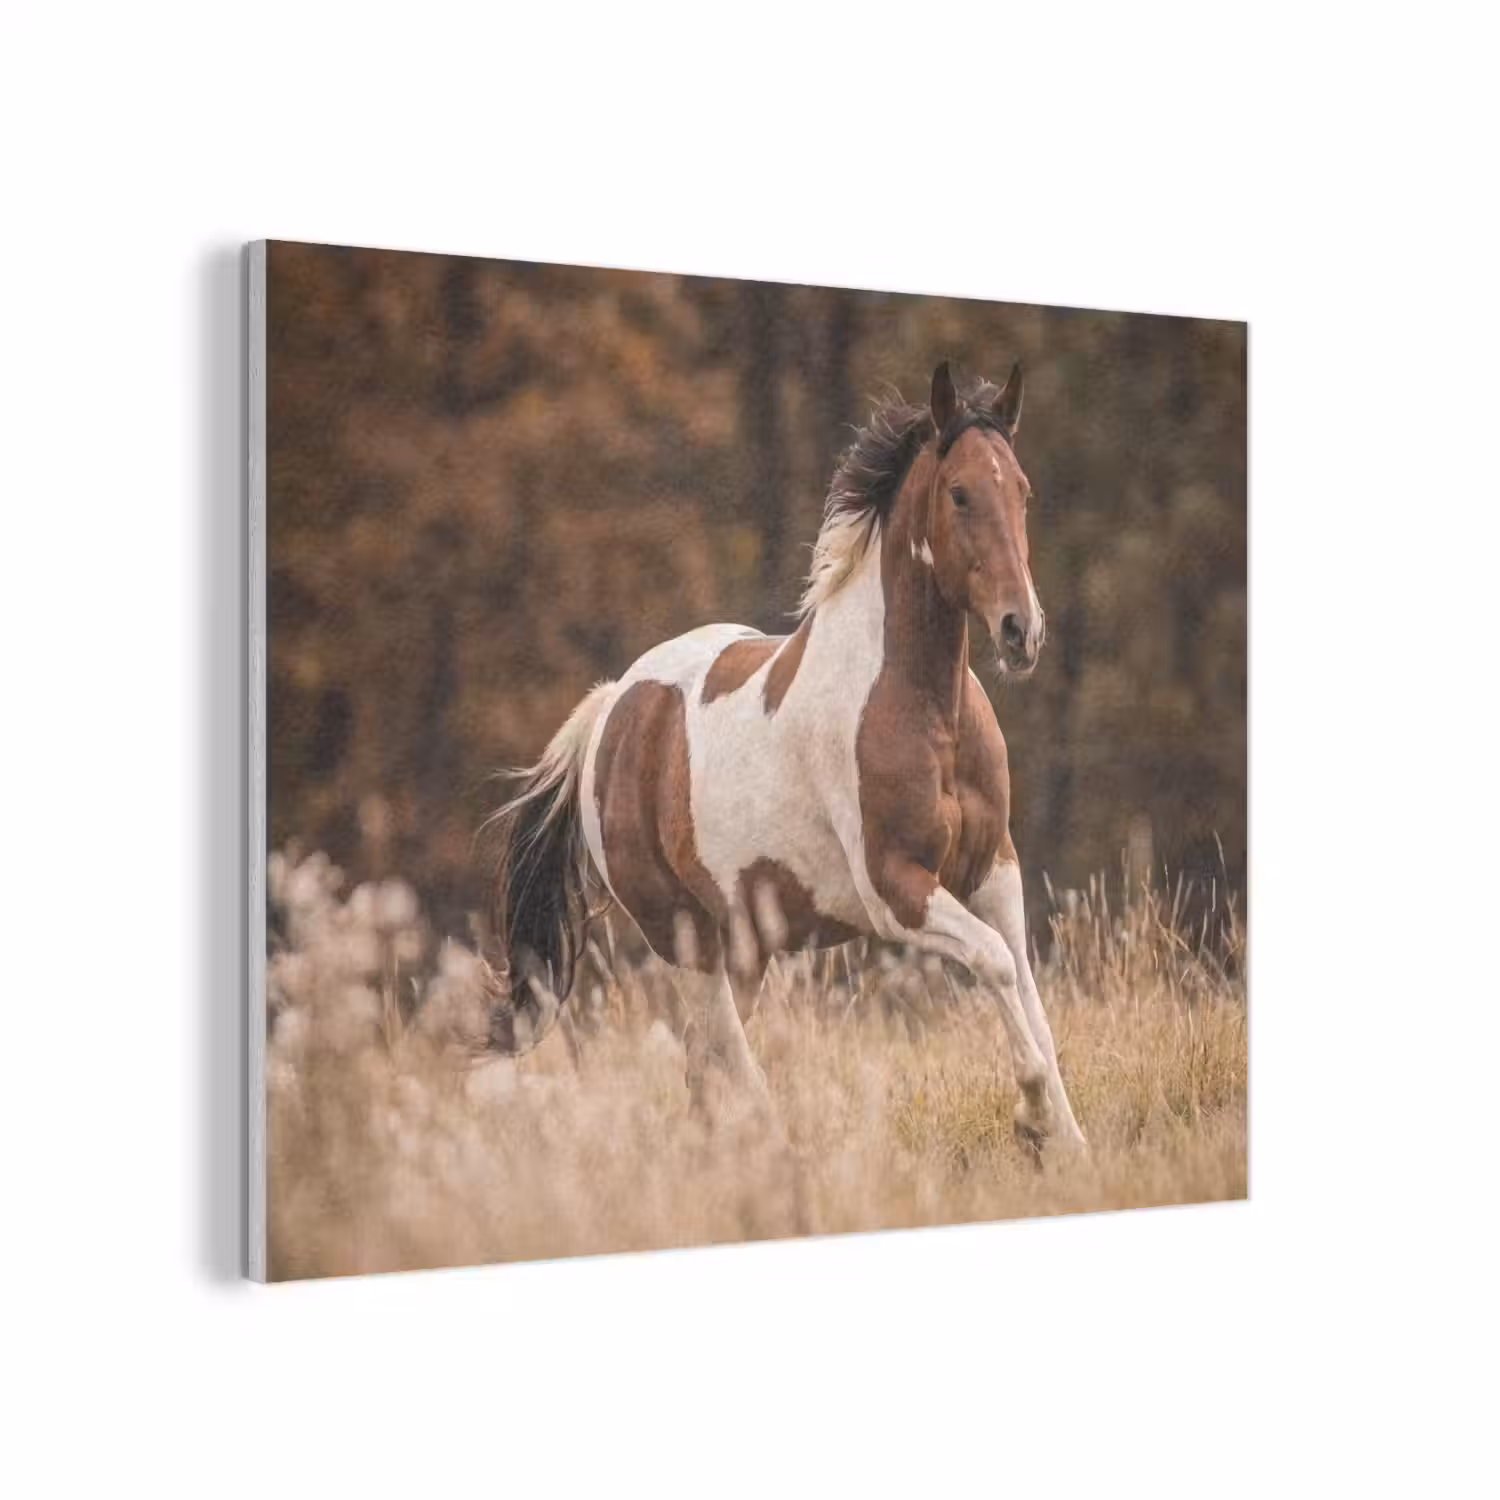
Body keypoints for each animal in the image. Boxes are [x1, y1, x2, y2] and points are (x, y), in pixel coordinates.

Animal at [485, 360, 1086, 1154]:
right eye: (959, 493)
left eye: (1022, 489)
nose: (1023, 631)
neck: (929, 714)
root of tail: (612, 708)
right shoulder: (895, 889)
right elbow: (991, 962)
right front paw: (1031, 1114)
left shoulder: (994, 871)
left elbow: (1024, 985)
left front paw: (1071, 1142)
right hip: (683, 935)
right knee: (724, 1057)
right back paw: (777, 1145)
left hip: (744, 943)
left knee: (703, 1069)